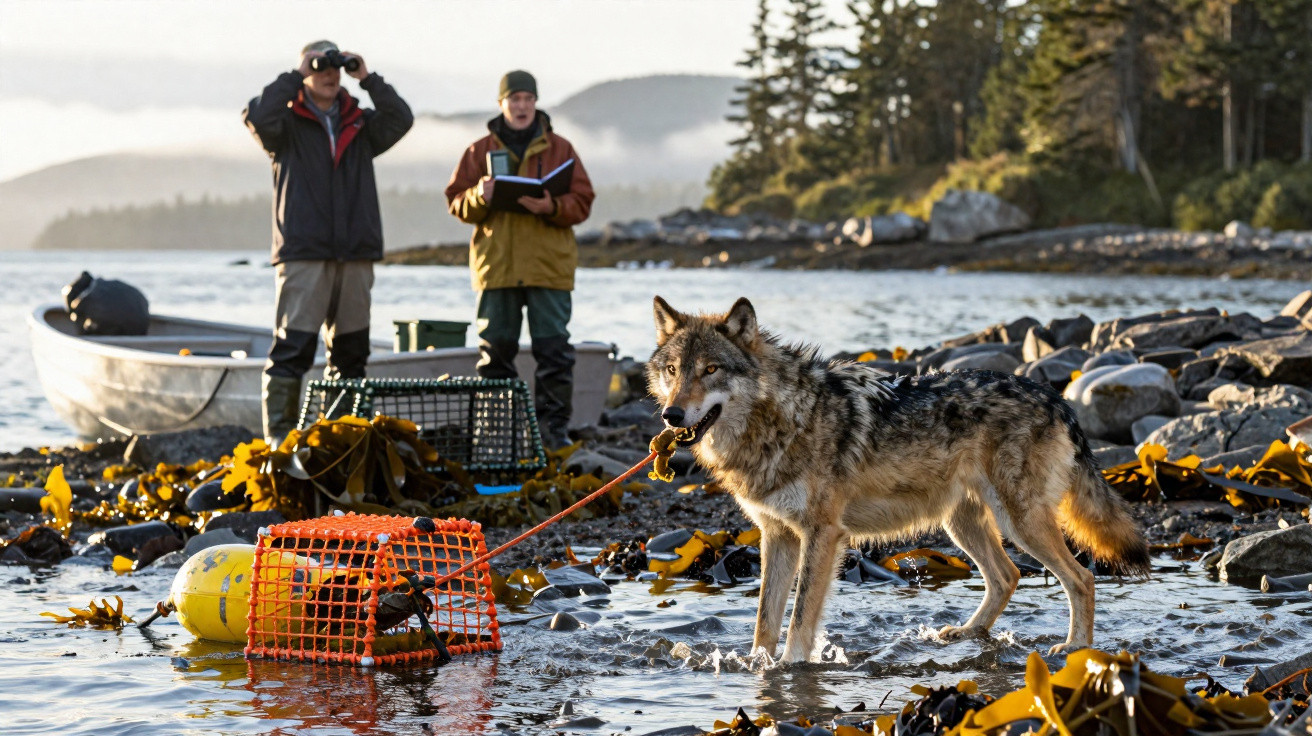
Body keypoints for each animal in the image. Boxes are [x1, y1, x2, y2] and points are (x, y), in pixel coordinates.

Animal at [646, 296, 1150, 663]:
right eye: (672, 371)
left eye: (711, 369)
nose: (671, 415)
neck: (783, 419)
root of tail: (1056, 397)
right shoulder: (778, 535)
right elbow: (765, 620)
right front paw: (758, 667)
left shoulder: (822, 534)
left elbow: (799, 619)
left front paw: (790, 668)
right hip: (963, 524)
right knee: (1006, 576)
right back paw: (966, 633)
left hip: (1019, 522)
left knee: (1081, 578)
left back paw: (1074, 648)